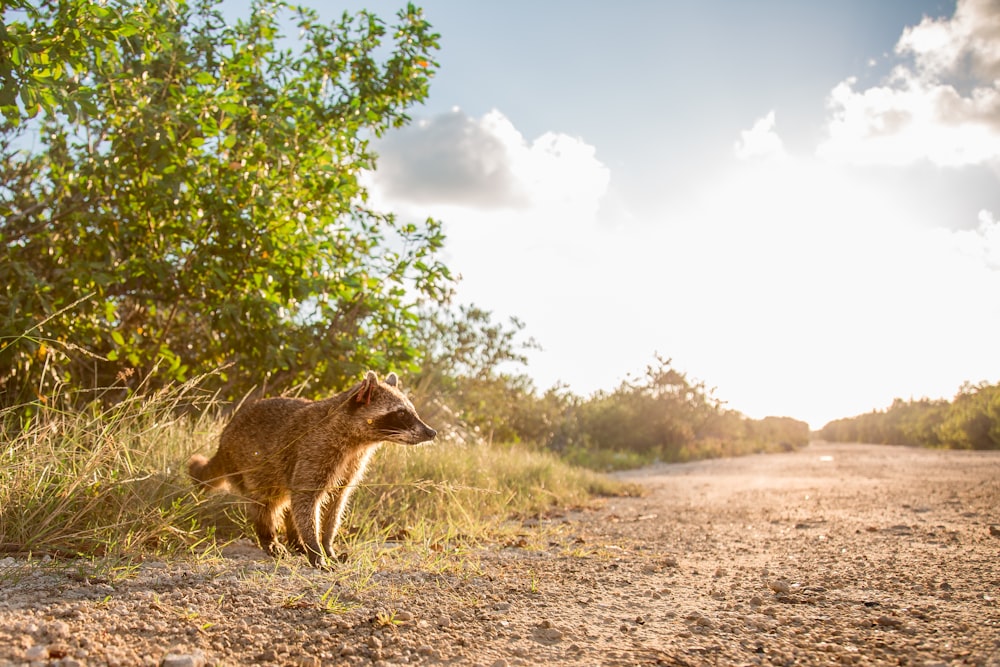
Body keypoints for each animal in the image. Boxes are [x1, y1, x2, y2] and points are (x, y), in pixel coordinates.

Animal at [188, 374, 438, 568]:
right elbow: (306, 499)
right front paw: (315, 548)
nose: (431, 432)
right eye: (401, 413)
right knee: (266, 502)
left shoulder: (351, 465)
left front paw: (327, 545)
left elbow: (336, 504)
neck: (359, 442)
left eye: (412, 410)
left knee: (288, 502)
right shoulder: (315, 450)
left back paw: (295, 540)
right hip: (251, 463)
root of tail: (222, 442)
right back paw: (269, 537)